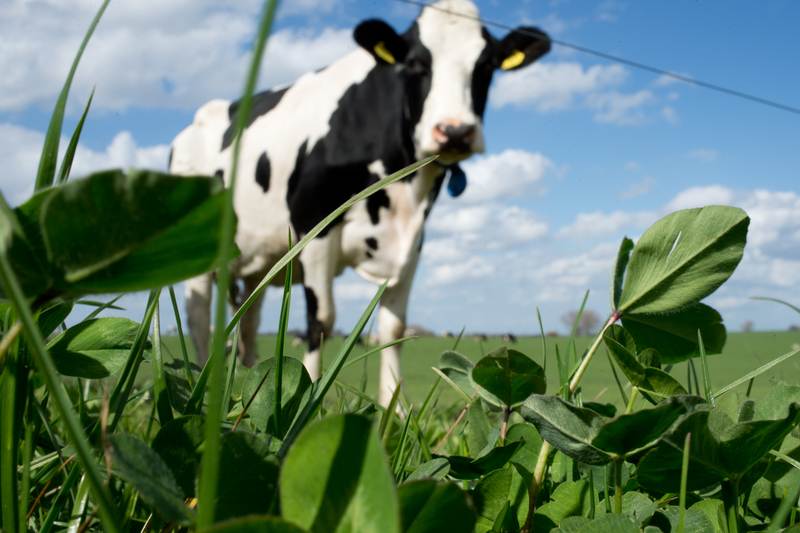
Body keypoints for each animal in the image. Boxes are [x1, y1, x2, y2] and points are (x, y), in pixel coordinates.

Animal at [169, 0, 550, 407]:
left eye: (487, 65)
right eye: (415, 63)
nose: (455, 130)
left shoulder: (414, 240)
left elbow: (394, 327)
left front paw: (393, 408)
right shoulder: (314, 224)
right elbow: (321, 320)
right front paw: (308, 401)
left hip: (261, 261)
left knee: (249, 319)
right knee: (198, 318)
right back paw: (200, 388)